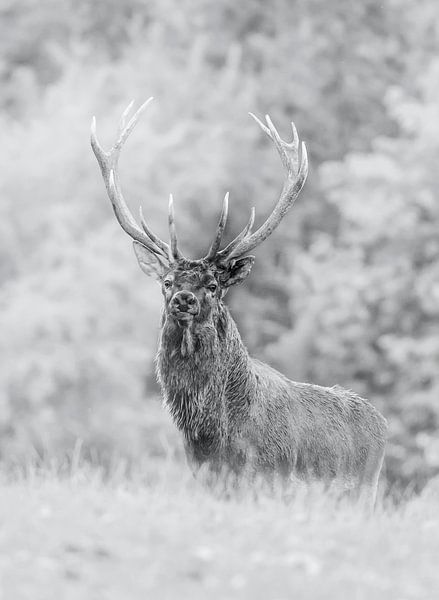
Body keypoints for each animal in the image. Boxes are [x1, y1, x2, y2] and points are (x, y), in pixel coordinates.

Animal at [90, 98, 388, 506]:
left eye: (214, 285)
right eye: (166, 282)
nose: (183, 298)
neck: (214, 436)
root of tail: (383, 425)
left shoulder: (268, 479)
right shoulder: (207, 480)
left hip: (363, 494)